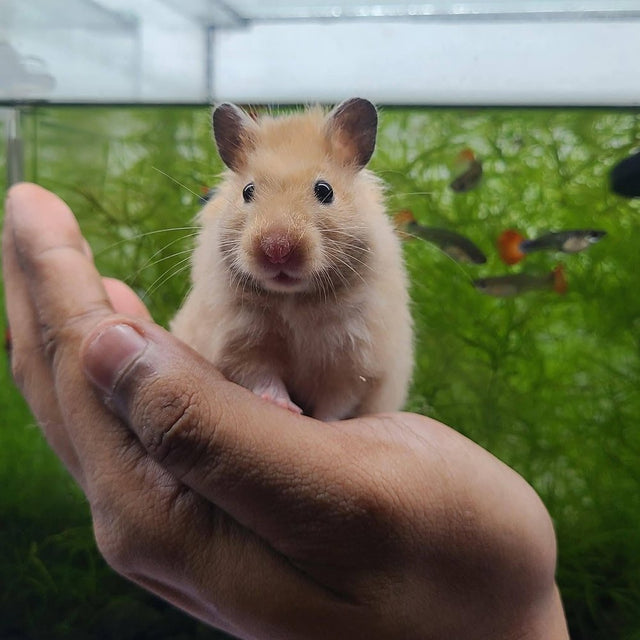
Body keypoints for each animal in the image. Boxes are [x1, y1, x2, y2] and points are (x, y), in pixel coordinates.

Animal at [170, 98, 413, 421]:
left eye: (324, 190)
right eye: (248, 191)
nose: (276, 249)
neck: (294, 299)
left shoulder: (356, 362)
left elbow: (337, 402)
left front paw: (319, 420)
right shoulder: (239, 342)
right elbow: (261, 376)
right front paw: (285, 406)